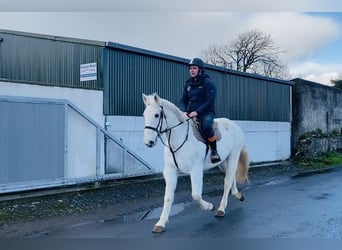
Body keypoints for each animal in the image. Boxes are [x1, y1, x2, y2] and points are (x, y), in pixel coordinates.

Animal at [142, 93, 248, 232]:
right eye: (144, 115)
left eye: (156, 115)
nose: (148, 142)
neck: (180, 139)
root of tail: (234, 125)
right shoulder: (170, 170)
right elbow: (168, 197)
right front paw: (161, 223)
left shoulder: (196, 170)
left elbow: (196, 195)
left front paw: (209, 207)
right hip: (223, 162)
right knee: (231, 177)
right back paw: (237, 195)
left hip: (233, 157)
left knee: (227, 181)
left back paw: (221, 209)